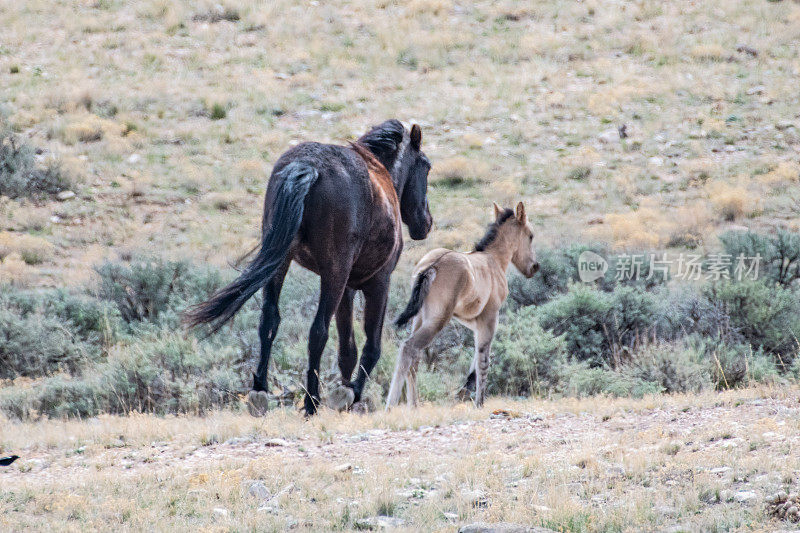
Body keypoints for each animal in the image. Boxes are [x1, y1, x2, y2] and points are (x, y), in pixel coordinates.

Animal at [184, 120, 432, 416]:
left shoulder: (348, 288)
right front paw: (350, 393)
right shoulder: (378, 282)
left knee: (269, 320)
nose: (426, 222)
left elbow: (347, 350)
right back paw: (311, 401)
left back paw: (260, 391)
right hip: (334, 273)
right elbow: (371, 346)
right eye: (427, 166)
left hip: (281, 263)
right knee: (318, 331)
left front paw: (343, 393)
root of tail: (309, 167)